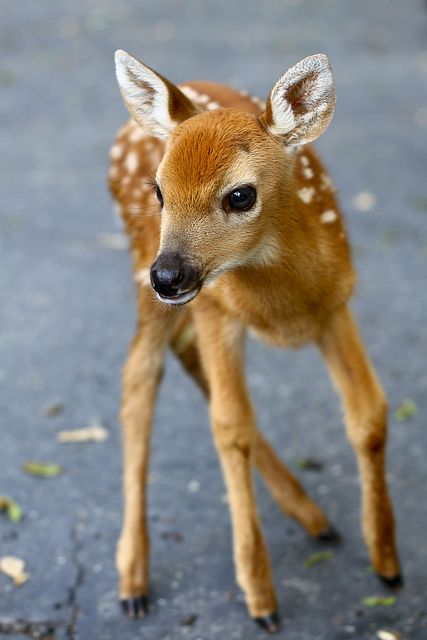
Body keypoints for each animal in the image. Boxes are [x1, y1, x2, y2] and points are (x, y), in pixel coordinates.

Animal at [109, 48, 402, 632]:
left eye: (240, 195)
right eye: (159, 190)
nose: (168, 276)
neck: (284, 309)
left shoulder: (336, 305)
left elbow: (369, 414)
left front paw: (386, 561)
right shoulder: (218, 312)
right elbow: (230, 426)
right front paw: (260, 596)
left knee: (176, 359)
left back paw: (311, 515)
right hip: (144, 273)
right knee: (139, 377)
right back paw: (133, 580)